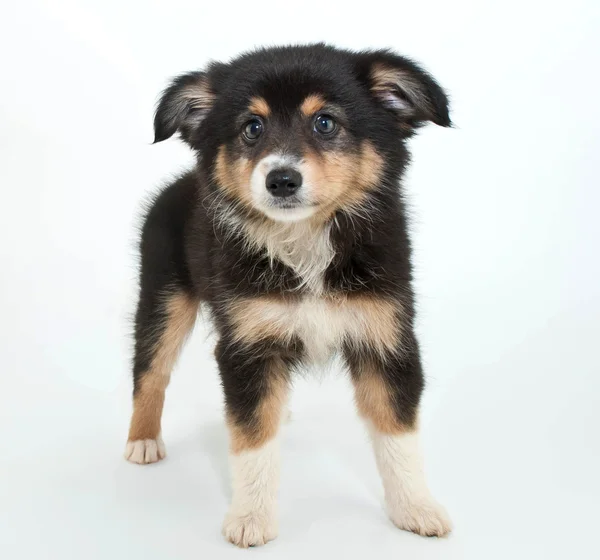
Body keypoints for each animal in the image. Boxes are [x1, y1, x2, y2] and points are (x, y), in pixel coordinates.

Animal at [124, 43, 452, 548]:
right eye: (251, 127)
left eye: (325, 122)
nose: (280, 180)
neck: (305, 241)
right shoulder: (247, 345)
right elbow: (252, 438)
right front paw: (251, 519)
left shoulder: (387, 336)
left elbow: (398, 433)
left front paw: (416, 508)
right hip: (162, 293)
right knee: (150, 370)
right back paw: (141, 440)